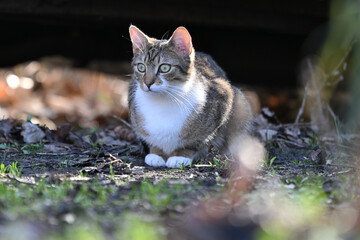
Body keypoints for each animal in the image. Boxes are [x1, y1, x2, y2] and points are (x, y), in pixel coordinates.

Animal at [128, 25, 255, 169]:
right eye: (141, 67)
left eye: (164, 68)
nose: (148, 83)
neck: (162, 101)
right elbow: (151, 138)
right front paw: (156, 153)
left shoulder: (223, 96)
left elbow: (197, 140)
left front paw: (181, 155)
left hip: (241, 105)